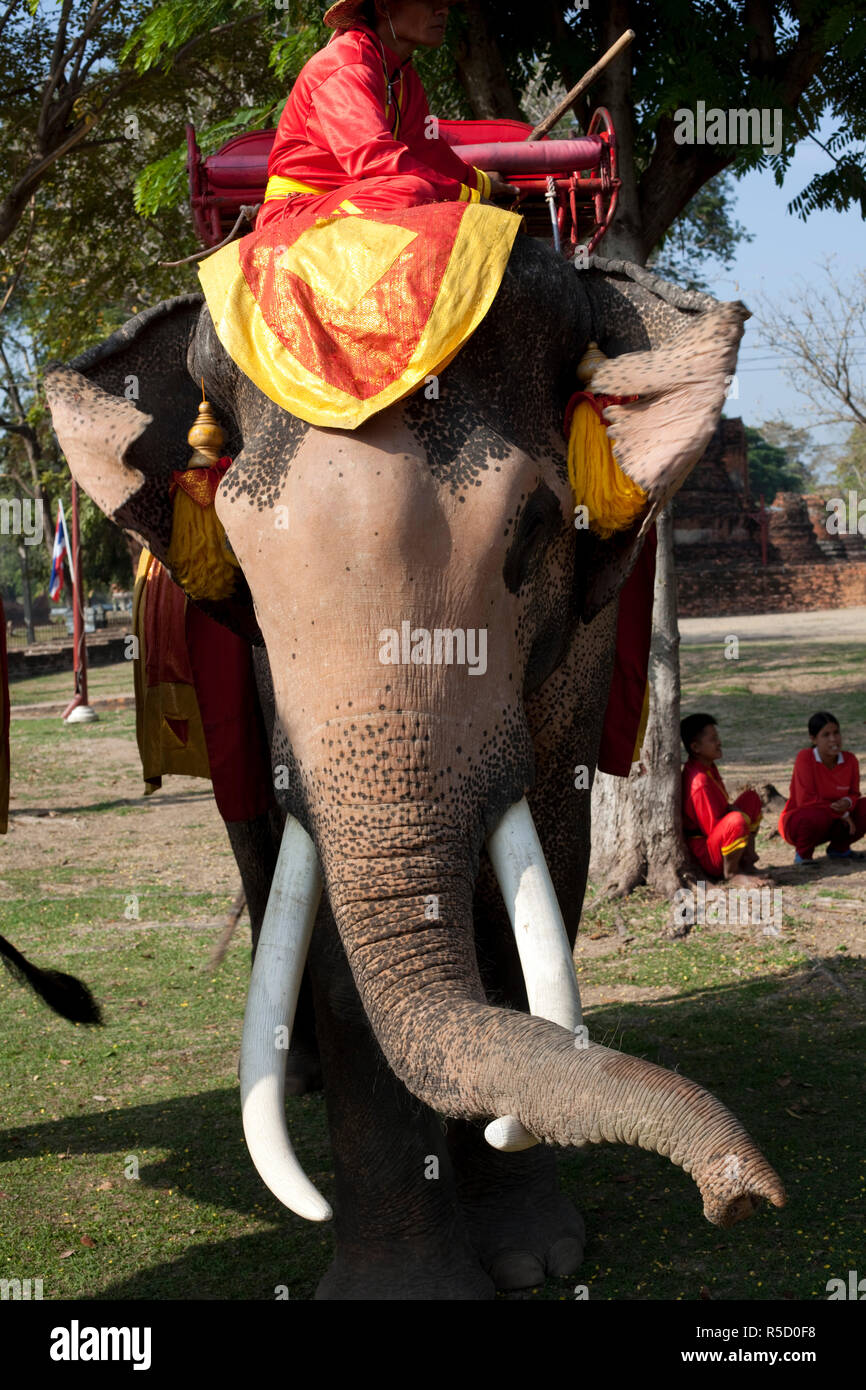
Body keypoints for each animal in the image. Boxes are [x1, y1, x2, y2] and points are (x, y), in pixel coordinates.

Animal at [44, 238, 785, 1300]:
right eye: (243, 569)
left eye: (533, 534)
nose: (743, 1197)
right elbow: (335, 951)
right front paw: (403, 1288)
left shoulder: (581, 651)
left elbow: (546, 868)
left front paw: (531, 1256)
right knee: (258, 860)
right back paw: (296, 1072)